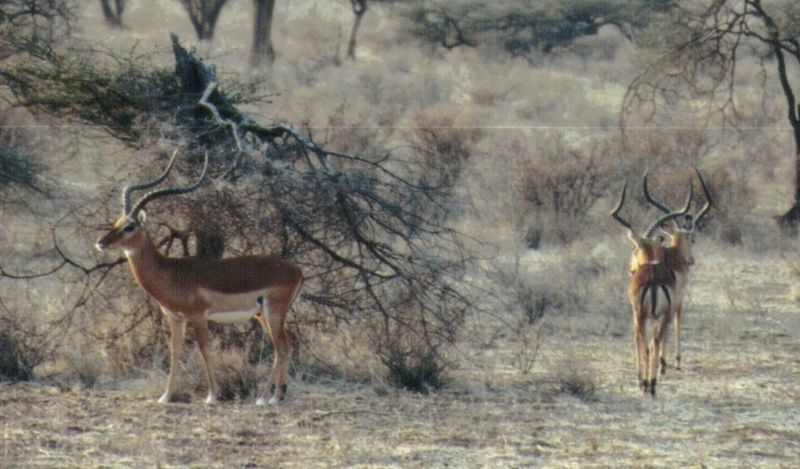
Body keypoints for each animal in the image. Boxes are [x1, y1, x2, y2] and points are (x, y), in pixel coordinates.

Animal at [94, 151, 304, 406]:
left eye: (130, 227)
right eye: (116, 222)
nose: (101, 242)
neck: (171, 272)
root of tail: (297, 270)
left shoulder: (197, 316)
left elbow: (204, 349)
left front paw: (211, 396)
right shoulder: (175, 318)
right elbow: (175, 351)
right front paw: (165, 396)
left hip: (273, 313)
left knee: (281, 348)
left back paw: (265, 399)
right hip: (263, 315)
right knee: (286, 347)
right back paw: (277, 396)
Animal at [612, 168, 712, 394]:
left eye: (633, 248)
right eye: (692, 238)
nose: (630, 268)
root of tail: (652, 278)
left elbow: (641, 339)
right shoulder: (672, 304)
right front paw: (670, 364)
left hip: (646, 315)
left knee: (648, 342)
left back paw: (648, 382)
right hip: (656, 315)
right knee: (654, 340)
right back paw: (653, 381)